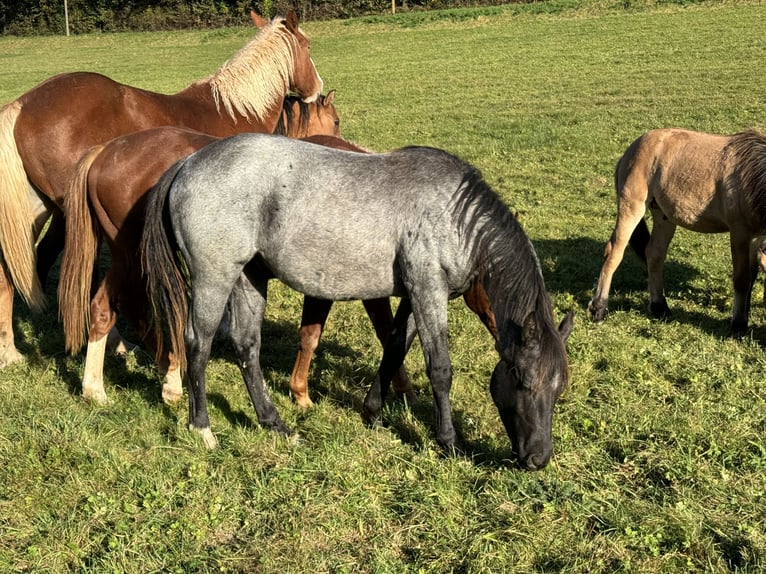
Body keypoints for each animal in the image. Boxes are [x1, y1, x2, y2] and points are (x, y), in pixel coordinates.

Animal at [0, 10, 324, 368]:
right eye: (308, 45)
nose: (317, 87)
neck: (235, 111)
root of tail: (23, 104)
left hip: (37, 212)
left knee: (12, 273)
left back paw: (10, 350)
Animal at [142, 134, 576, 472]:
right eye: (523, 379)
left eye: (558, 389)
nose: (538, 458)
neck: (454, 214)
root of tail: (188, 164)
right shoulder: (428, 291)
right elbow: (439, 369)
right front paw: (448, 441)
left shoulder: (414, 296)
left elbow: (395, 348)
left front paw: (373, 413)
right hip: (214, 278)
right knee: (198, 344)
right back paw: (202, 428)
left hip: (250, 278)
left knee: (247, 347)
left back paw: (275, 424)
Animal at [592, 128, 766, 336]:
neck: (751, 175)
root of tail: (631, 149)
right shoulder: (739, 232)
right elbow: (742, 279)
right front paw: (738, 324)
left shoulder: (756, 236)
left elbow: (751, 277)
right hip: (631, 208)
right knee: (614, 254)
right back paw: (599, 309)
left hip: (664, 217)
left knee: (654, 255)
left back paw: (659, 307)